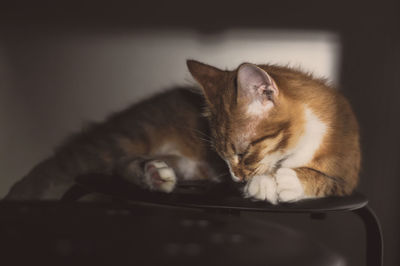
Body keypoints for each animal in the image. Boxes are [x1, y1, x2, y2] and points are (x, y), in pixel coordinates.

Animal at [3, 59, 360, 203]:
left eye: (243, 152)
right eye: (224, 156)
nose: (236, 178)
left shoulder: (348, 175)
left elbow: (322, 178)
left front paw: (278, 181)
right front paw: (268, 181)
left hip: (183, 165)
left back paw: (153, 173)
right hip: (124, 138)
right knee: (90, 164)